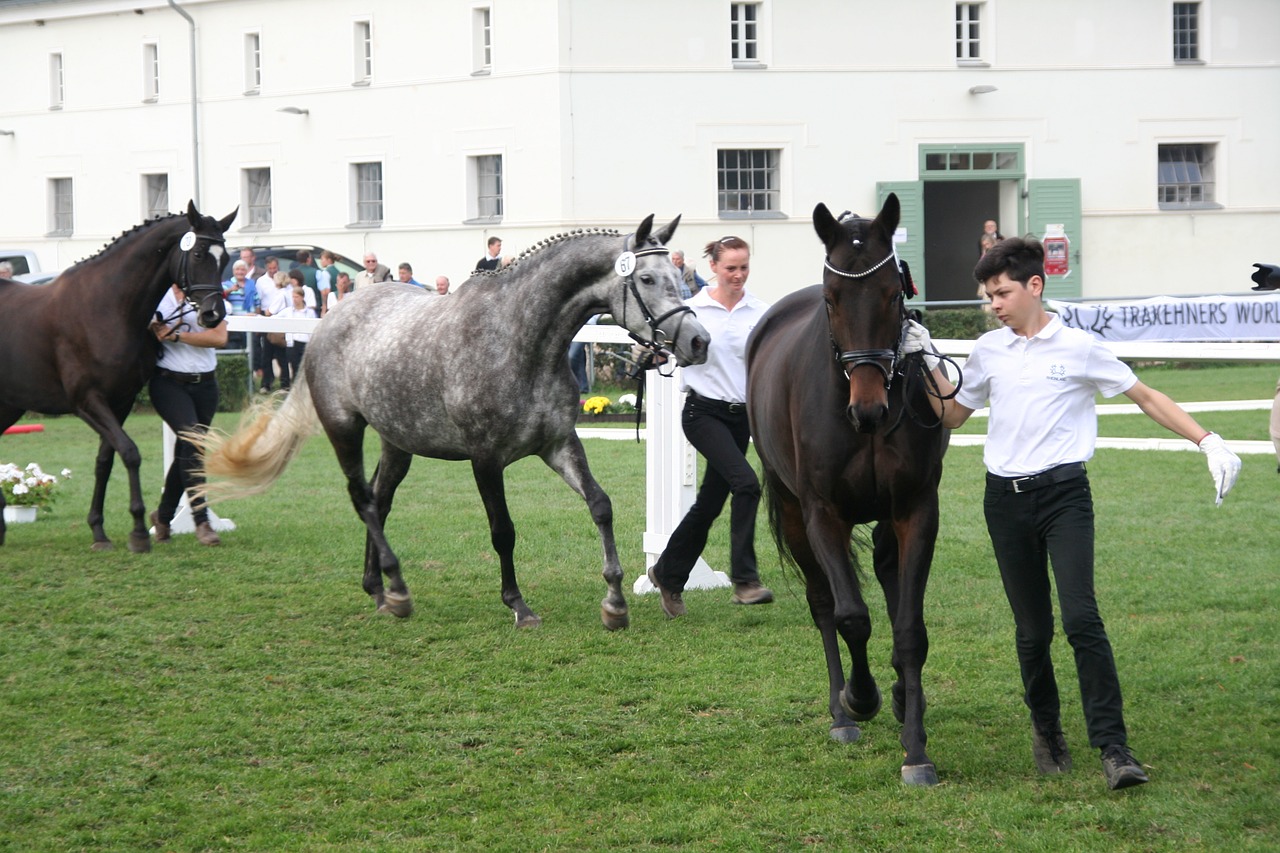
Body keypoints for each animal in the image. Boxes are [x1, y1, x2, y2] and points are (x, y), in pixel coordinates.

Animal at [0, 204, 235, 550]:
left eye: (226, 257)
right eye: (198, 254)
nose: (213, 314)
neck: (107, 307)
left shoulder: (120, 401)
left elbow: (105, 461)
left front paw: (99, 531)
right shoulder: (87, 401)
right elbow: (130, 453)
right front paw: (138, 531)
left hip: (10, 405)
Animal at [197, 216, 711, 627]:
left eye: (679, 275)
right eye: (647, 277)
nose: (698, 341)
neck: (519, 339)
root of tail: (329, 319)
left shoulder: (559, 444)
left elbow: (601, 506)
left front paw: (615, 602)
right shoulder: (485, 459)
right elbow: (503, 531)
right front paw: (518, 605)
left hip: (397, 442)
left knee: (380, 500)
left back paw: (379, 589)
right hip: (345, 429)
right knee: (363, 500)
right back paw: (398, 590)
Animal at [747, 194, 952, 783]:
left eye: (893, 294)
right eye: (832, 299)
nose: (869, 410)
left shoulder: (914, 510)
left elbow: (908, 627)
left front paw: (916, 749)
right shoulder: (823, 515)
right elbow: (850, 617)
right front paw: (860, 698)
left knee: (886, 575)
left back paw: (903, 694)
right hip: (793, 512)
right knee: (822, 603)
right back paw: (842, 713)